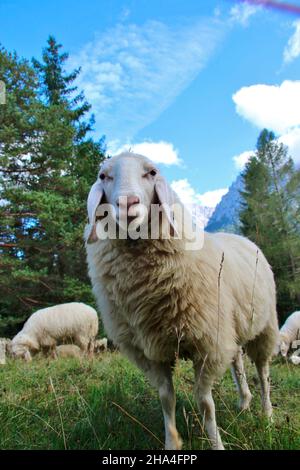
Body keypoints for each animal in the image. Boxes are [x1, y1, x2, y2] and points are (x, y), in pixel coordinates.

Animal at [84, 152, 278, 450]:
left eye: (152, 172)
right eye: (104, 176)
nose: (127, 203)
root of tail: (242, 238)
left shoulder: (209, 344)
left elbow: (205, 402)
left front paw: (216, 443)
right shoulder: (151, 350)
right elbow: (166, 398)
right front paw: (172, 442)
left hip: (265, 327)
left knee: (263, 372)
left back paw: (267, 416)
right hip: (231, 327)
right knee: (238, 362)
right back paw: (244, 402)